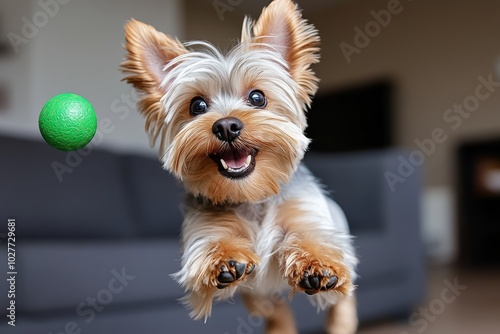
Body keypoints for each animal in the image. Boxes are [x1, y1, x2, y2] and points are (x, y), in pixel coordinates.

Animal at [121, 0, 358, 332]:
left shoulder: (305, 215)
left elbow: (311, 239)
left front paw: (317, 264)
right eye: (197, 106)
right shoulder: (205, 226)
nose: (226, 126)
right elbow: (211, 249)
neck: (250, 196)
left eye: (257, 97)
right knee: (274, 309)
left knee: (342, 301)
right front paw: (224, 260)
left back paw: (341, 321)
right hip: (258, 297)